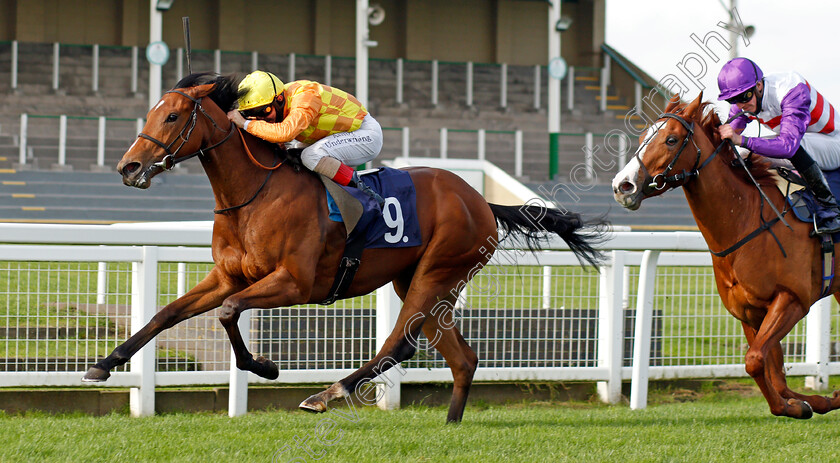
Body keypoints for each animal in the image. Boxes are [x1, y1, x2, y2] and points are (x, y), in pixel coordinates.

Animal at [85, 73, 608, 424]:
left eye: (172, 115)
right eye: (152, 112)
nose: (128, 167)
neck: (255, 194)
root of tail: (479, 199)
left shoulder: (294, 283)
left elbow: (230, 312)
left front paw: (264, 366)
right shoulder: (229, 276)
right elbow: (166, 314)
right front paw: (104, 364)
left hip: (439, 271)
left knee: (402, 341)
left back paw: (329, 392)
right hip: (420, 281)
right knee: (461, 356)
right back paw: (450, 422)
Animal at [612, 91, 840, 420]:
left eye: (671, 140)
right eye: (643, 137)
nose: (622, 186)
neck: (747, 219)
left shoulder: (793, 299)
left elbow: (755, 360)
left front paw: (807, 403)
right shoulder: (750, 312)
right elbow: (772, 373)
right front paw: (805, 404)